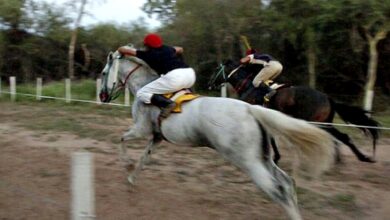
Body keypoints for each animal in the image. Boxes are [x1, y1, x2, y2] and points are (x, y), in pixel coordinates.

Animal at [98, 50, 336, 220]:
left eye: (102, 73)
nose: (102, 96)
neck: (146, 87)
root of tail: (252, 110)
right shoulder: (156, 137)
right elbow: (143, 158)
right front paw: (131, 179)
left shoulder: (141, 129)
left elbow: (122, 140)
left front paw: (127, 166)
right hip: (263, 158)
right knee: (286, 183)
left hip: (248, 162)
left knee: (277, 190)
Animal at [209, 60, 380, 163]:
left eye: (216, 69)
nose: (209, 84)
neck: (248, 87)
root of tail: (328, 98)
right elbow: (271, 137)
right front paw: (275, 157)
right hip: (325, 122)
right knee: (341, 138)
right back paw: (348, 160)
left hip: (318, 122)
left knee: (340, 137)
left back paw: (358, 158)